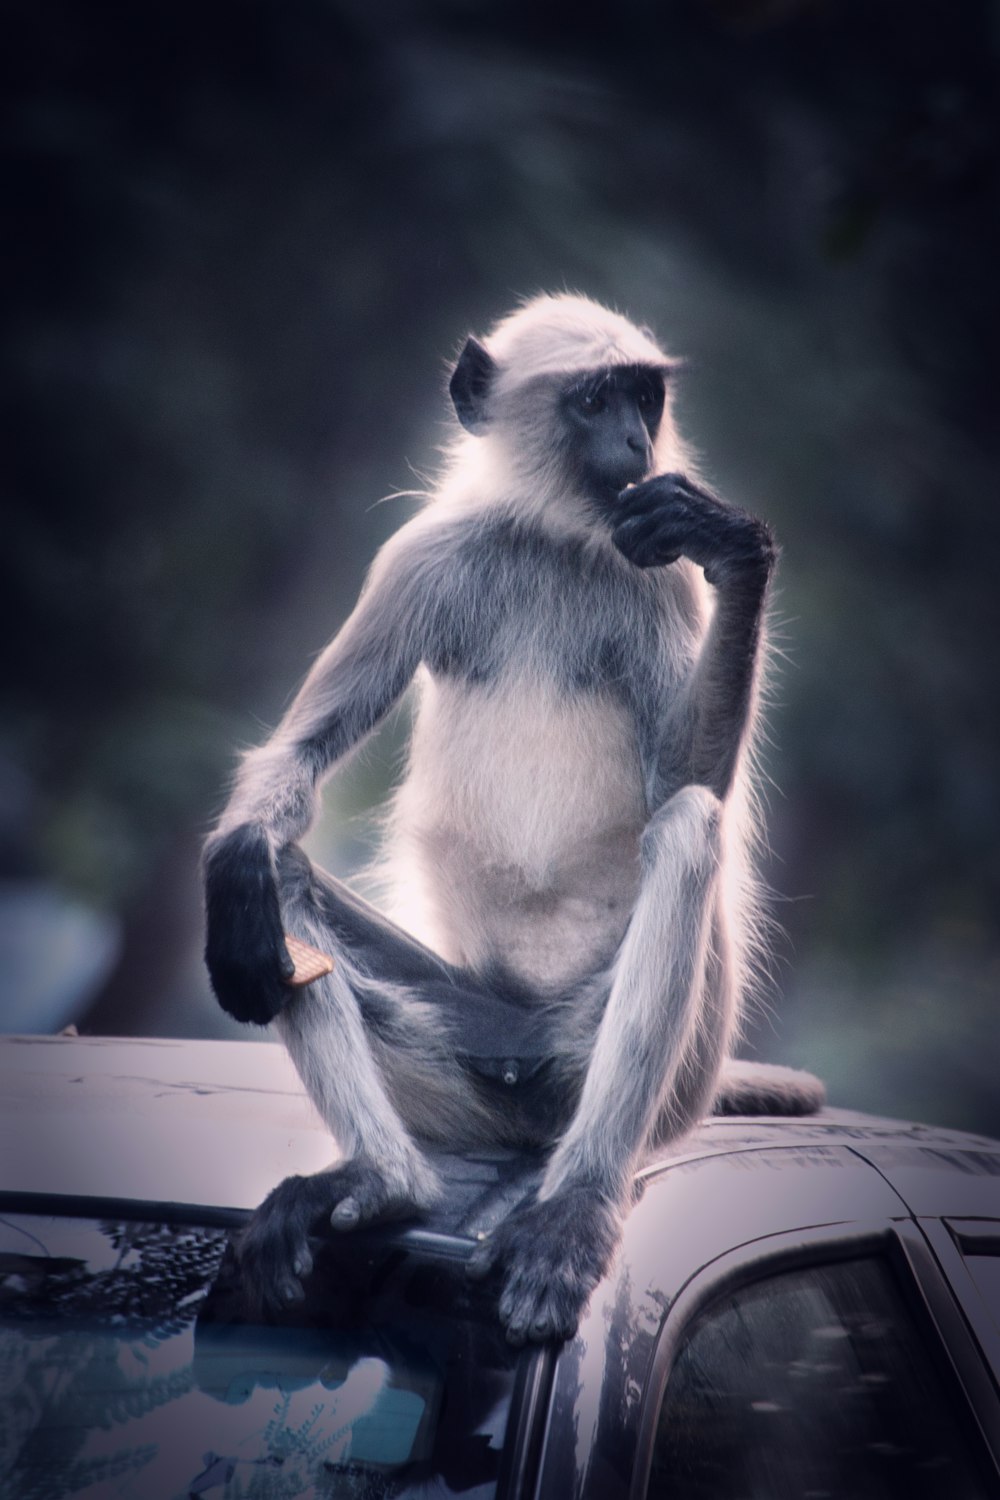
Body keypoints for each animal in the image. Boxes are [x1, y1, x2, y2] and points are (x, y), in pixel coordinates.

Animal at [200, 292, 821, 1350]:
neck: (554, 542)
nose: (635, 441)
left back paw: (575, 1207)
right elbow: (298, 761)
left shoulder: (658, 573)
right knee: (273, 879)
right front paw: (239, 859)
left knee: (687, 829)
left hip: (648, 1064)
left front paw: (737, 546)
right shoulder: (417, 561)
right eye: (595, 400)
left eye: (645, 398)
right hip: (466, 1054)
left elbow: (684, 781)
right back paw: (384, 1179)